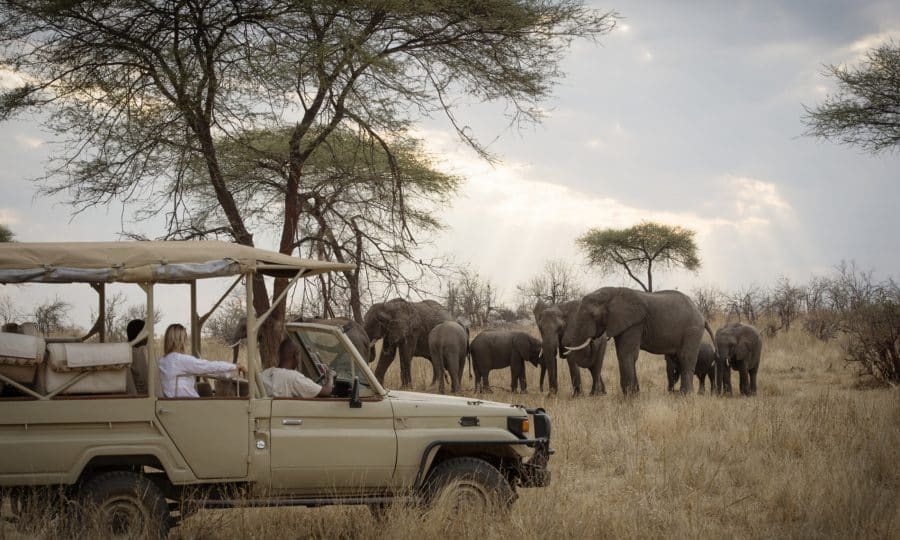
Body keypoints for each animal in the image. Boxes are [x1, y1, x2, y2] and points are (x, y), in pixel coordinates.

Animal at [562, 287, 716, 395]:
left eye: (592, 315)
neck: (613, 292)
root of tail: (702, 316)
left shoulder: (635, 323)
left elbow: (627, 353)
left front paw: (630, 396)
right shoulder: (623, 324)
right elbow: (623, 354)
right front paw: (633, 393)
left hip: (692, 330)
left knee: (685, 358)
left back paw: (685, 395)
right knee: (678, 358)